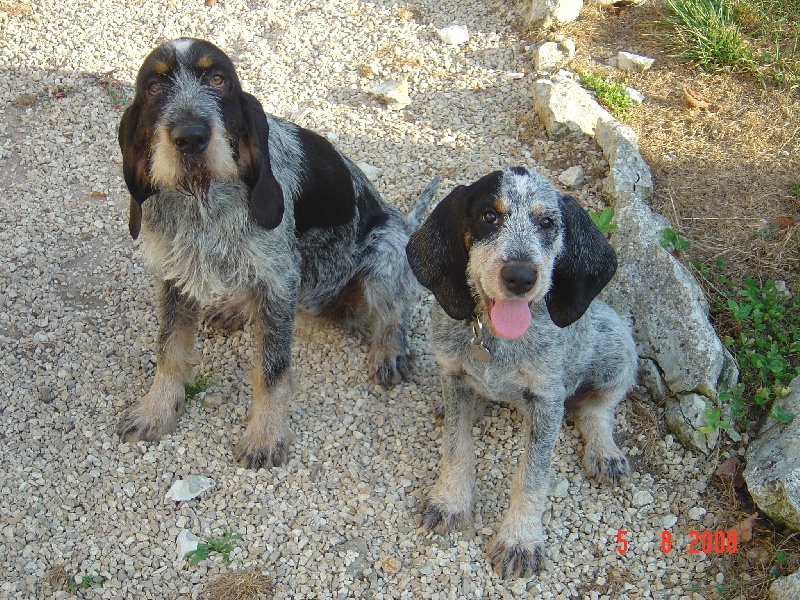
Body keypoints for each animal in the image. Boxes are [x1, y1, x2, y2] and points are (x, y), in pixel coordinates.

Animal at [116, 37, 438, 469]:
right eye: (154, 87)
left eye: (218, 80)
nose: (190, 137)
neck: (202, 200)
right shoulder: (174, 275)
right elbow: (169, 349)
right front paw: (156, 410)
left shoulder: (280, 280)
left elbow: (273, 370)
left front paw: (265, 434)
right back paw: (235, 306)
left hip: (385, 251)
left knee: (395, 307)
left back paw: (389, 349)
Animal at [406, 167, 637, 578]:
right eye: (489, 216)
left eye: (547, 222)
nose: (521, 276)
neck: (496, 339)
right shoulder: (453, 374)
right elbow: (456, 446)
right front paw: (450, 500)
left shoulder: (546, 401)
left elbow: (532, 476)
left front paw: (520, 539)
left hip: (617, 348)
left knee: (597, 407)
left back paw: (604, 450)